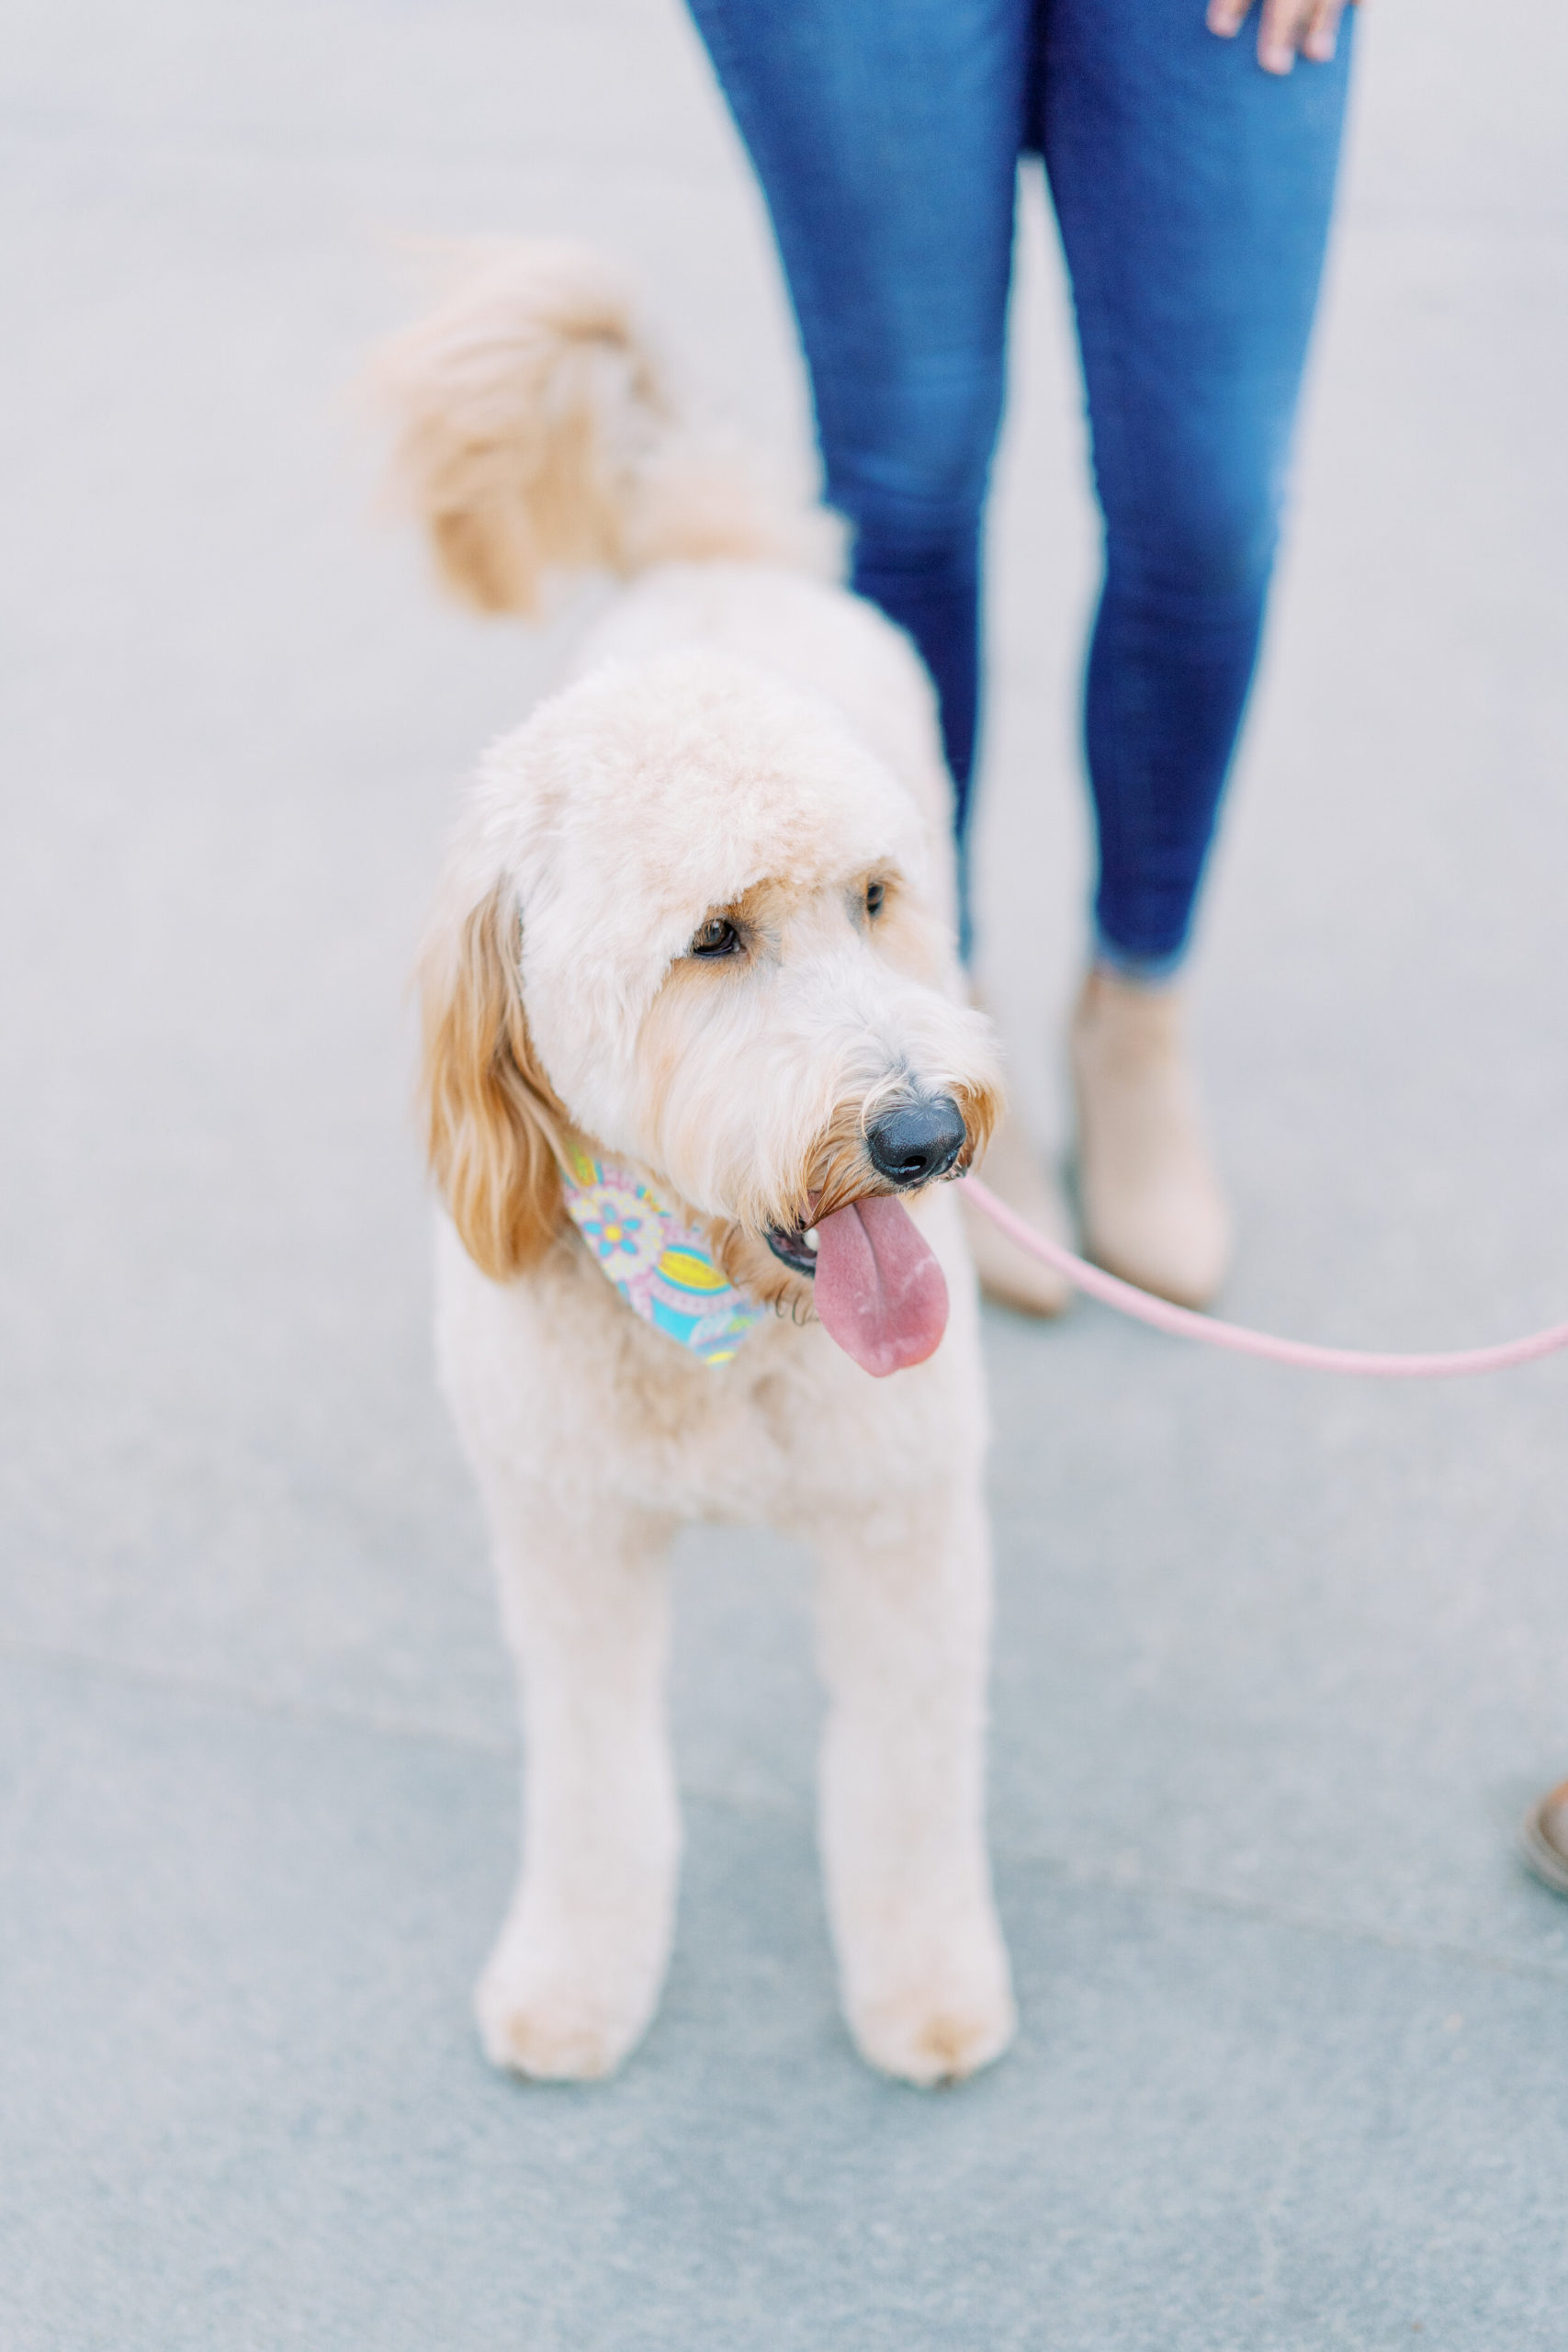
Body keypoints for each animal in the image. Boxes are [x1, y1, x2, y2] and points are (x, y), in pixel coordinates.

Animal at [376, 248, 1020, 2088]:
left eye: (870, 900)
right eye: (711, 939)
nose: (926, 1138)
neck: (717, 1318)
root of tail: (726, 553)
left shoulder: (903, 1525)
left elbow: (902, 1786)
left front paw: (924, 1988)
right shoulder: (568, 1541)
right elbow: (596, 1789)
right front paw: (576, 1983)